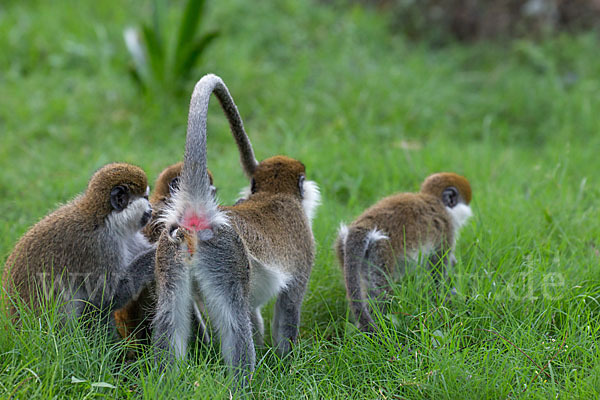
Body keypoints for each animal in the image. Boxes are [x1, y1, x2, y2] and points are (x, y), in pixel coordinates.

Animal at [2, 162, 156, 324]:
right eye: (146, 198)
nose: (151, 209)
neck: (106, 220)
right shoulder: (100, 247)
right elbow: (106, 297)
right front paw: (154, 254)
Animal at [150, 75, 318, 388]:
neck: (274, 194)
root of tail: (199, 215)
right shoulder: (304, 250)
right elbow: (287, 310)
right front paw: (287, 363)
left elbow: (254, 315)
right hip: (225, 255)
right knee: (234, 321)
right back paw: (243, 385)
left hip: (170, 254)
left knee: (171, 317)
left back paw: (166, 382)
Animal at [336, 172, 472, 332]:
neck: (435, 200)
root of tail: (363, 226)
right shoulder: (447, 230)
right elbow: (437, 269)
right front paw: (442, 295)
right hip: (381, 252)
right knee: (380, 292)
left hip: (344, 250)